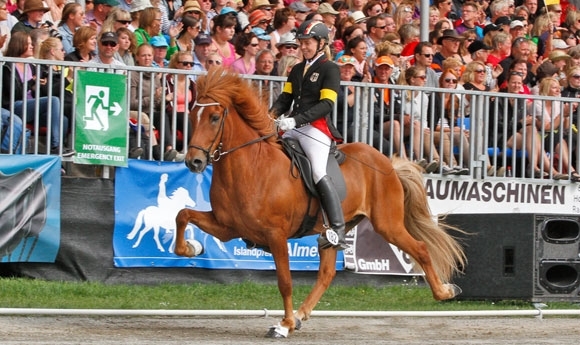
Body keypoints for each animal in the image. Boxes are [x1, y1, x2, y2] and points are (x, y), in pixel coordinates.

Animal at [173, 68, 466, 338]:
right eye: (192, 115)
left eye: (214, 117)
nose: (194, 162)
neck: (251, 167)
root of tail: (388, 164)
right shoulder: (227, 228)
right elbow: (183, 215)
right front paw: (192, 248)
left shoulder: (275, 235)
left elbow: (285, 281)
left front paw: (283, 325)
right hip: (334, 232)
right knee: (326, 274)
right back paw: (300, 316)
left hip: (387, 223)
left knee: (420, 248)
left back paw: (445, 291)